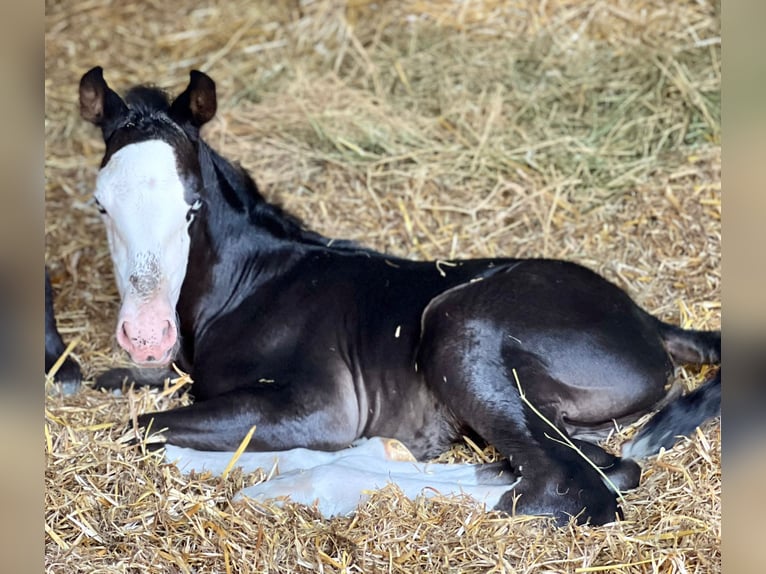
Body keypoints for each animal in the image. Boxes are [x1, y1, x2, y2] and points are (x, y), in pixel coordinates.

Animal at [81, 66, 724, 528]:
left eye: (191, 206)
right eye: (100, 205)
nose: (145, 335)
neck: (249, 284)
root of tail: (648, 321)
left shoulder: (320, 403)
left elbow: (140, 428)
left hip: (457, 325)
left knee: (574, 488)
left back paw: (304, 486)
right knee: (585, 466)